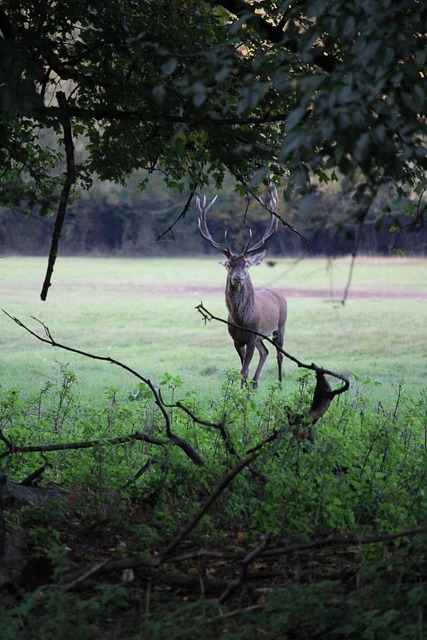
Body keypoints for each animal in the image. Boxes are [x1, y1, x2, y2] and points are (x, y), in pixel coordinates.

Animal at [197, 188, 287, 388]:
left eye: (246, 264)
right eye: (229, 264)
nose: (237, 277)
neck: (242, 320)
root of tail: (280, 296)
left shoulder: (252, 337)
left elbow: (244, 369)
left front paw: (242, 392)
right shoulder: (236, 339)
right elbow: (242, 369)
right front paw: (243, 389)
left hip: (281, 326)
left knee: (279, 354)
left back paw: (279, 384)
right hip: (262, 336)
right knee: (265, 352)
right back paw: (255, 384)